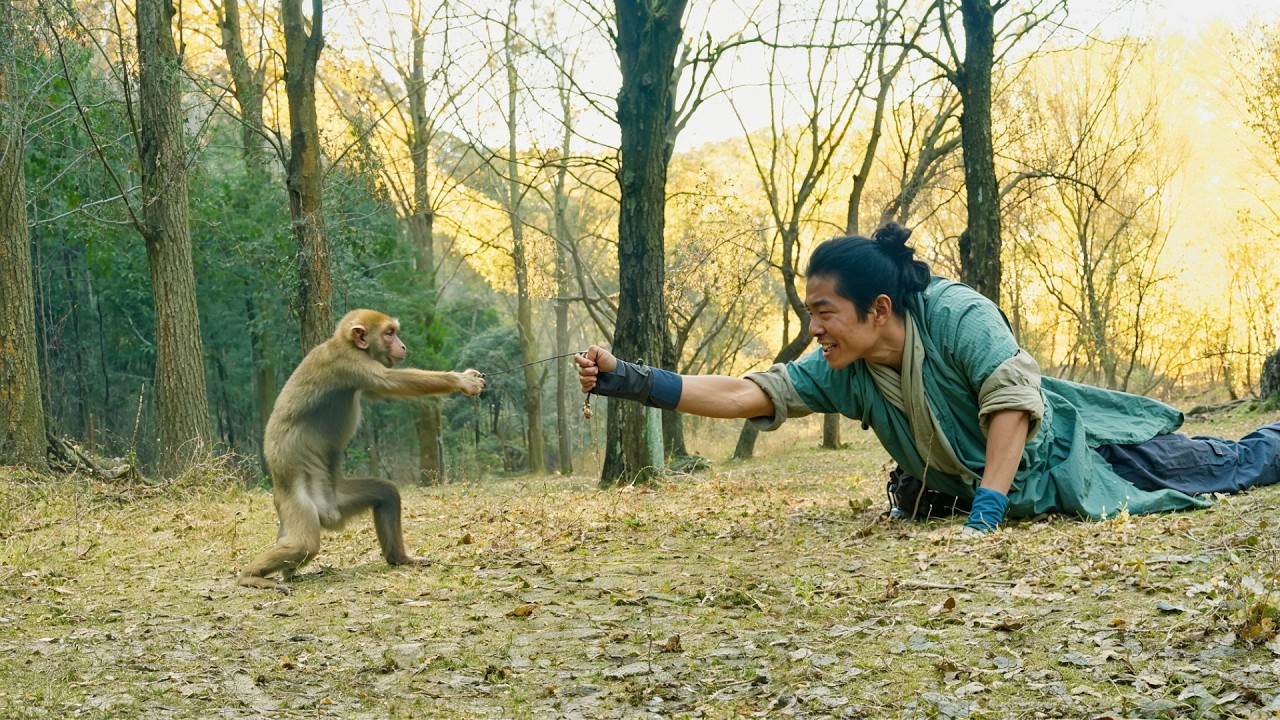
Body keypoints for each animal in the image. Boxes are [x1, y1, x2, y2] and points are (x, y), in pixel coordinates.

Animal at [237, 309, 485, 592]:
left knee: (386, 494)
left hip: (339, 498)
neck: (344, 343)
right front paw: (462, 380)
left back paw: (398, 558)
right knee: (304, 545)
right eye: (389, 333)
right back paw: (249, 576)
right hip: (295, 499)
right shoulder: (349, 363)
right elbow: (390, 381)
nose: (402, 346)